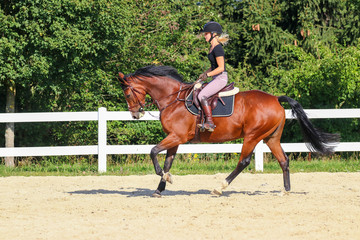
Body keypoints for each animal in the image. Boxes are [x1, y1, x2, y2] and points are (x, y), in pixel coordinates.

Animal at [118, 64, 340, 196]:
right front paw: (161, 186)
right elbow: (167, 161)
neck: (173, 98)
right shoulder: (175, 139)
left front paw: (163, 177)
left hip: (252, 136)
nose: (135, 115)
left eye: (127, 93)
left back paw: (220, 187)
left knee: (244, 161)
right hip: (271, 138)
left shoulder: (177, 136)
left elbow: (153, 151)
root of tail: (276, 98)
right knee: (284, 160)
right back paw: (285, 191)